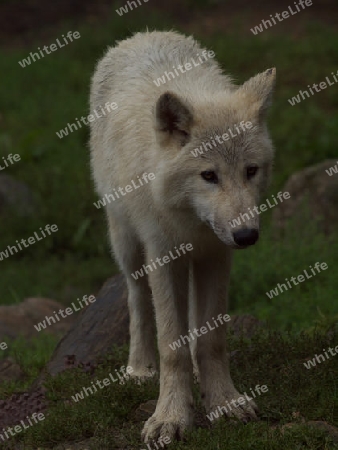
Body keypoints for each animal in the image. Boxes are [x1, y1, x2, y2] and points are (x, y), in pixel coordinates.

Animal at [89, 29, 274, 442]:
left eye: (251, 171)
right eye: (209, 176)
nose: (247, 235)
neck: (192, 225)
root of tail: (141, 35)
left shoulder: (216, 256)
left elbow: (210, 339)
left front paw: (223, 402)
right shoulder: (163, 254)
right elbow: (171, 347)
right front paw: (171, 417)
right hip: (126, 244)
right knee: (136, 299)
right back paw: (140, 369)